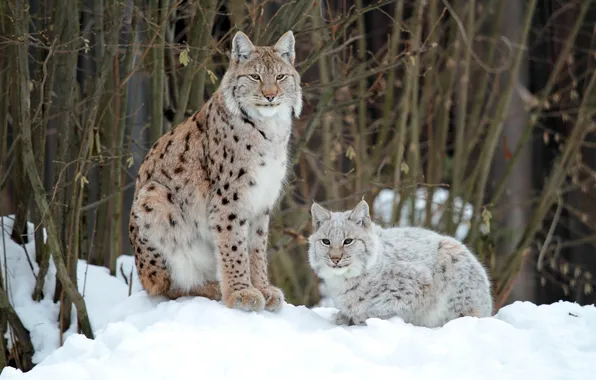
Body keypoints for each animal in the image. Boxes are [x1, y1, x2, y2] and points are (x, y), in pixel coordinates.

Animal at [127, 31, 300, 312]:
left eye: (280, 77)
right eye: (255, 77)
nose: (270, 96)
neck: (270, 127)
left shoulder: (262, 198)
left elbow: (256, 247)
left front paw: (262, 288)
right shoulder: (230, 197)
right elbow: (234, 244)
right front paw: (240, 293)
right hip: (153, 195)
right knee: (164, 288)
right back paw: (211, 287)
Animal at [308, 199, 494, 326]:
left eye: (348, 241)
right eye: (326, 242)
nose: (335, 258)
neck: (343, 278)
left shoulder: (420, 287)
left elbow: (379, 309)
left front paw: (358, 318)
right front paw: (344, 316)